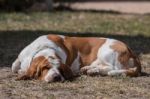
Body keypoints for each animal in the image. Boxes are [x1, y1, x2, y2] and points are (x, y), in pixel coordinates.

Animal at [12, 34, 142, 82]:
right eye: (45, 67)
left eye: (60, 69)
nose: (57, 77)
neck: (44, 49)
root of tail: (130, 50)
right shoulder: (20, 58)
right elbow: (14, 66)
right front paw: (21, 71)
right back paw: (90, 70)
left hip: (105, 52)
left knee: (112, 68)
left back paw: (92, 71)